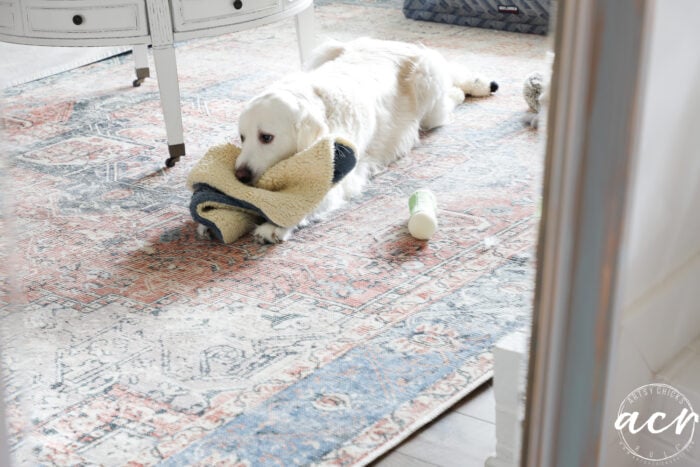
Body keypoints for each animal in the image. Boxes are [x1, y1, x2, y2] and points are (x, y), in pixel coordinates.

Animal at [200, 38, 500, 243]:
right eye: (242, 137)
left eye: (266, 137)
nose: (240, 175)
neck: (319, 104)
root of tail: (396, 42)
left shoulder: (340, 176)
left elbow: (308, 201)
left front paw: (275, 226)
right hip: (325, 50)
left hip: (428, 89)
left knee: (449, 94)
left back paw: (469, 89)